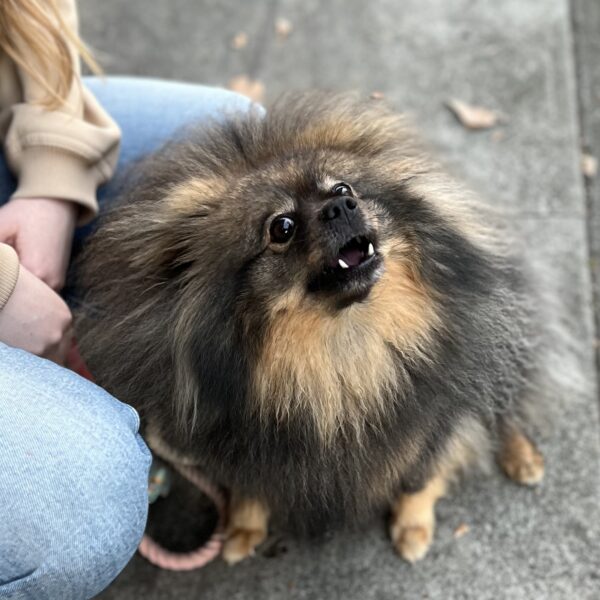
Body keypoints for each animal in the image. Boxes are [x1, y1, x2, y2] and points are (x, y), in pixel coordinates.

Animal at [77, 92, 552, 564]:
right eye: (281, 227)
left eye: (343, 188)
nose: (342, 206)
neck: (338, 353)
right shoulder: (237, 442)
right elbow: (248, 487)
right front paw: (242, 527)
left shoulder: (433, 420)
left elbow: (420, 476)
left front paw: (412, 526)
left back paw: (522, 456)